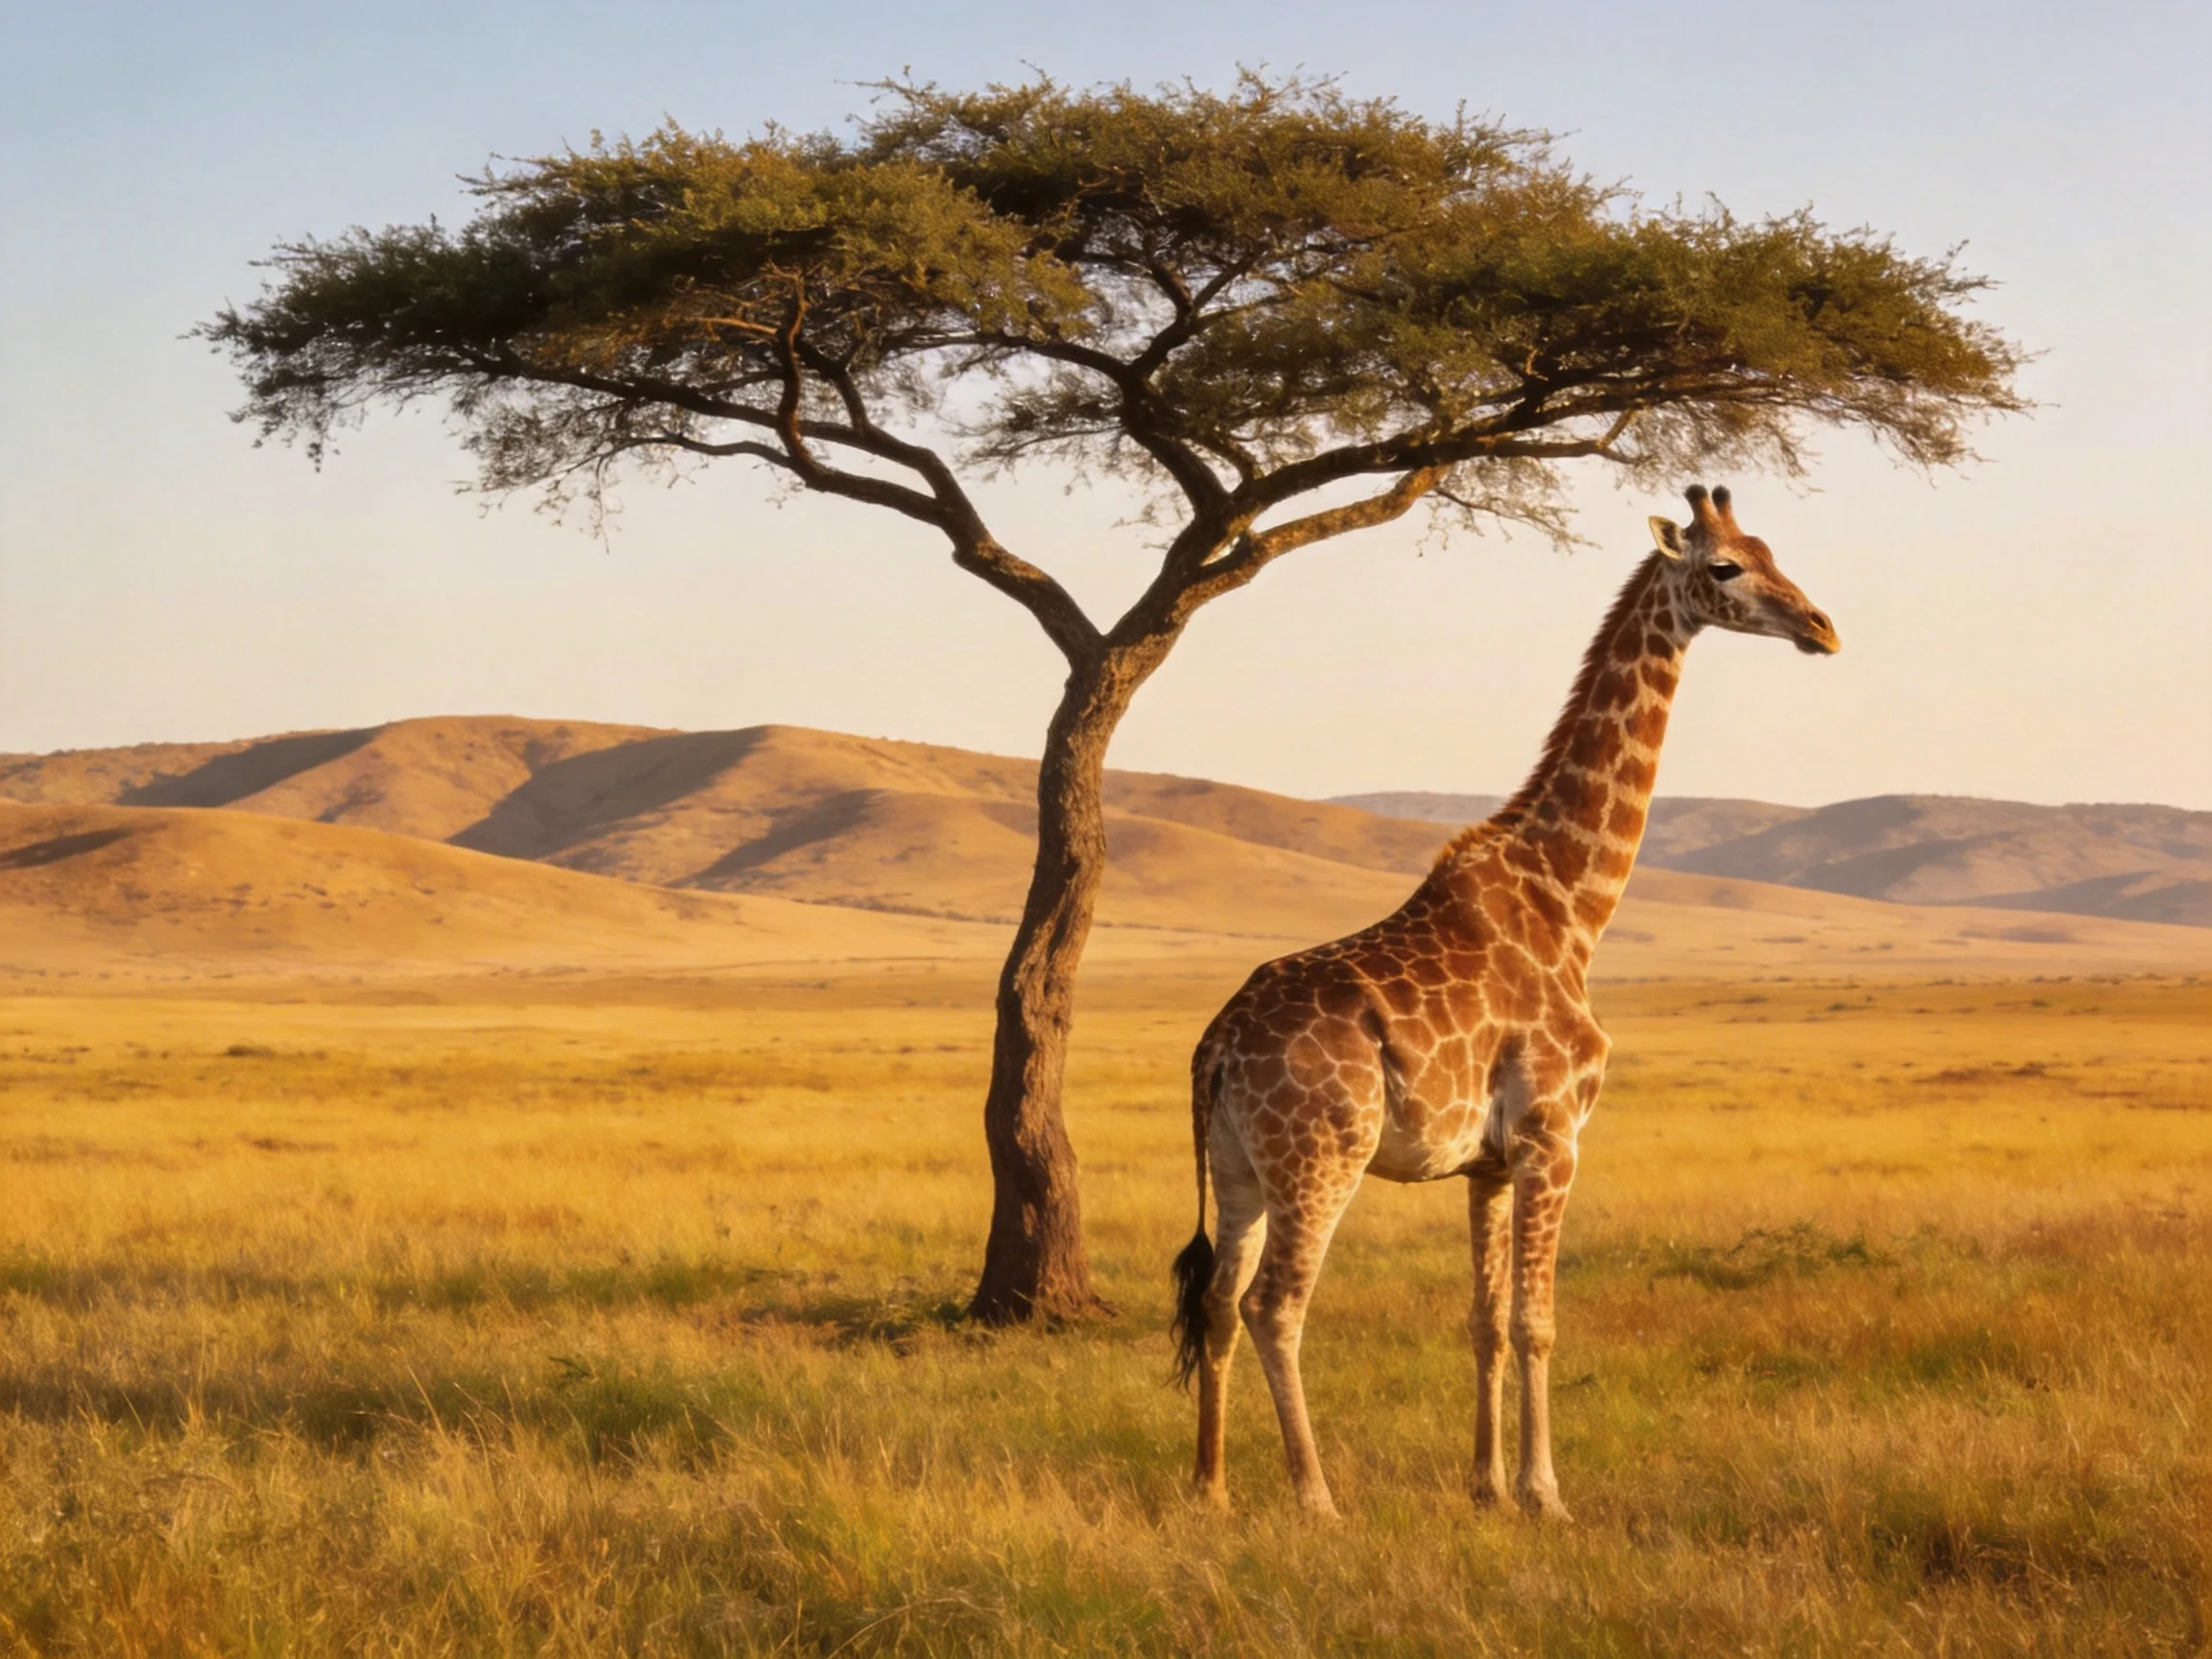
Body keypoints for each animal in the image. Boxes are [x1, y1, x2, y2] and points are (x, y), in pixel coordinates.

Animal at [1169, 484, 1839, 1519]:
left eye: (1774, 550)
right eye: (1726, 567)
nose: (1822, 627)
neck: (1574, 901)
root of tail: (1217, 1050)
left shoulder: (1483, 1162)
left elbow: (1483, 1319)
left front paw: (1484, 1486)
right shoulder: (1552, 1137)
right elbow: (1537, 1322)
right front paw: (1546, 1494)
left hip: (1240, 1167)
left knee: (1214, 1300)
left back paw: (1211, 1487)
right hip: (1321, 1156)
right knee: (1273, 1304)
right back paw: (1316, 1497)